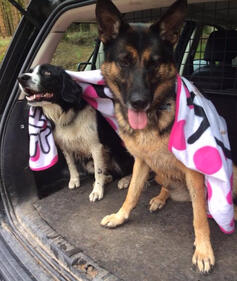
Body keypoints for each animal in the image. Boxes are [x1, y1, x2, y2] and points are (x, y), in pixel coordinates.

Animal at [18, 64, 133, 201]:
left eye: (47, 73)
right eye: (30, 71)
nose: (21, 78)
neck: (65, 113)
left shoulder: (96, 146)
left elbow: (98, 171)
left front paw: (97, 191)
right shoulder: (64, 146)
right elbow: (71, 164)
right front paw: (74, 180)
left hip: (117, 154)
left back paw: (125, 180)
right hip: (88, 163)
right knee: (110, 174)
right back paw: (107, 179)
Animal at [96, 0, 237, 272]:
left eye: (154, 63)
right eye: (124, 62)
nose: (139, 102)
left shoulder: (194, 172)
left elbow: (199, 217)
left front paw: (203, 250)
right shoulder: (141, 162)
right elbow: (132, 193)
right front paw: (120, 216)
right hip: (158, 170)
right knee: (162, 185)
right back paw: (160, 198)